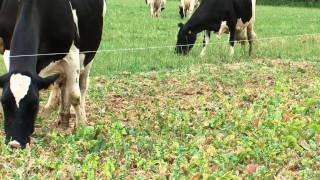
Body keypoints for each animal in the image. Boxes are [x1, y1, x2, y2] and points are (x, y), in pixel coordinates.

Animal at [0, 0, 107, 148]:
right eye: (4, 104)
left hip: (89, 56)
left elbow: (75, 96)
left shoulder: (72, 55)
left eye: (34, 105)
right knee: (60, 83)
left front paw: (81, 127)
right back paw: (61, 114)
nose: (15, 144)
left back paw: (78, 115)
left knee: (82, 86)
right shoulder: (7, 51)